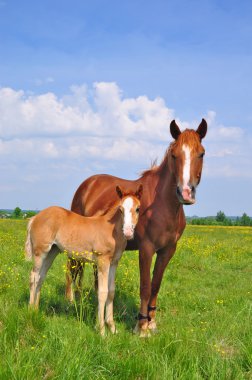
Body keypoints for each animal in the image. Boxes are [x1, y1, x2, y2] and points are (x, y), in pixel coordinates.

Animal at [27, 185, 144, 336]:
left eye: (138, 208)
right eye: (120, 209)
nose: (128, 232)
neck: (111, 231)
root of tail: (35, 217)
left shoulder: (113, 263)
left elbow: (111, 291)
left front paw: (112, 327)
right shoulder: (102, 262)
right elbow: (102, 292)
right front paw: (101, 330)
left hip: (51, 252)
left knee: (41, 277)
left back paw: (36, 310)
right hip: (40, 252)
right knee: (34, 276)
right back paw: (30, 311)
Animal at [70, 119, 207, 336]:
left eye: (201, 153)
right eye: (174, 154)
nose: (185, 193)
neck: (163, 205)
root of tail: (88, 183)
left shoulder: (167, 250)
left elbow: (156, 285)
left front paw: (151, 322)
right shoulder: (146, 248)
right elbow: (145, 286)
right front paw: (141, 327)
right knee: (75, 268)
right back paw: (72, 301)